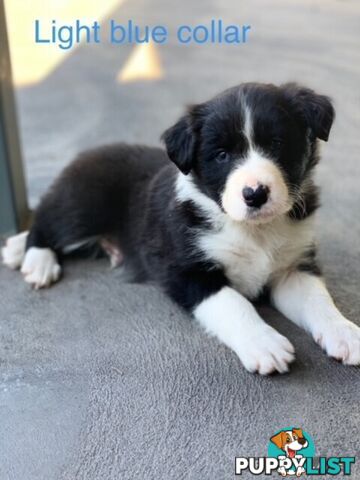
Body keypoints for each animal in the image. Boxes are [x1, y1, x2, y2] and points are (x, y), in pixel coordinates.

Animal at [2, 82, 360, 376]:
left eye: (277, 144)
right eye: (221, 155)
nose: (255, 194)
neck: (252, 229)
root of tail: (89, 152)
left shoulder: (293, 268)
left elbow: (319, 301)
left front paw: (345, 332)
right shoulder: (186, 272)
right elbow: (234, 303)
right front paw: (264, 343)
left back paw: (17, 248)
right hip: (82, 205)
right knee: (46, 219)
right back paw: (35, 260)